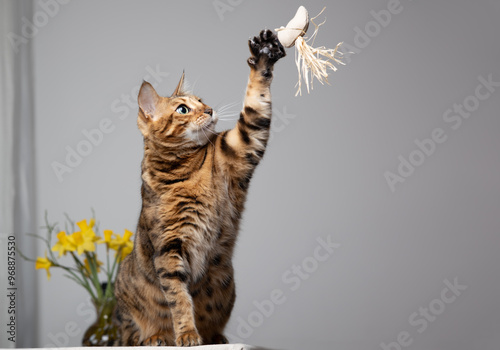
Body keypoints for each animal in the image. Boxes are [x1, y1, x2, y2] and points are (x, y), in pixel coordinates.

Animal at [114, 28, 286, 346]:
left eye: (201, 99)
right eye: (183, 108)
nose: (210, 110)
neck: (186, 169)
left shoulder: (243, 143)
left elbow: (256, 103)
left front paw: (263, 55)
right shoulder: (169, 246)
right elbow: (179, 299)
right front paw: (186, 334)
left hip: (225, 280)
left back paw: (216, 338)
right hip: (127, 302)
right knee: (131, 334)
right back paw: (156, 337)